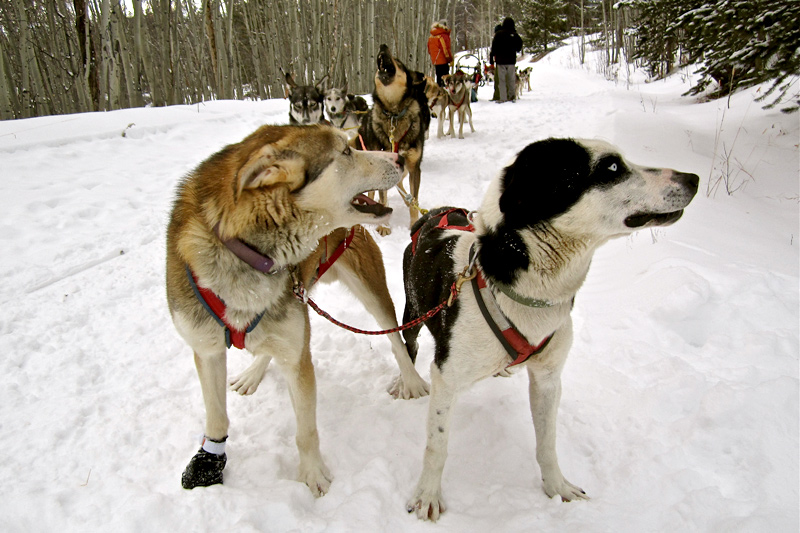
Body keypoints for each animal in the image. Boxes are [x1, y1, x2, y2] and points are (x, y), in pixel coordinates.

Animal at [352, 44, 428, 236]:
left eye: (399, 62)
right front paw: (384, 226)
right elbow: (382, 197)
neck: (394, 113)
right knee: (372, 193)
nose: (383, 46)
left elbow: (414, 200)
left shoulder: (414, 167)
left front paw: (413, 223)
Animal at [404, 137, 696, 520]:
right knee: (406, 345)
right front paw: (427, 494)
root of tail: (434, 212)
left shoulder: (547, 379)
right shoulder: (446, 379)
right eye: (611, 167)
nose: (693, 178)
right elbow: (436, 446)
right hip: (411, 312)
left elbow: (547, 442)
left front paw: (556, 487)